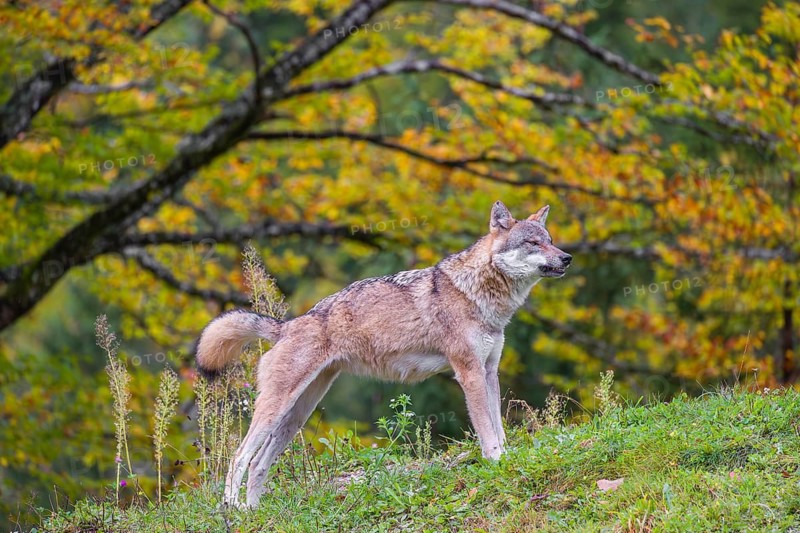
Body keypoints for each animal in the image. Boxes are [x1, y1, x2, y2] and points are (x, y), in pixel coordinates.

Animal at [196, 201, 572, 508]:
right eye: (533, 243)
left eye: (550, 239)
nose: (567, 257)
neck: (479, 293)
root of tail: (286, 325)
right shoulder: (468, 373)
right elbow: (488, 431)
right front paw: (496, 462)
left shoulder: (489, 371)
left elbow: (499, 428)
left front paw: (507, 460)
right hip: (276, 409)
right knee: (239, 457)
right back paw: (232, 508)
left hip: (298, 413)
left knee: (258, 464)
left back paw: (252, 512)